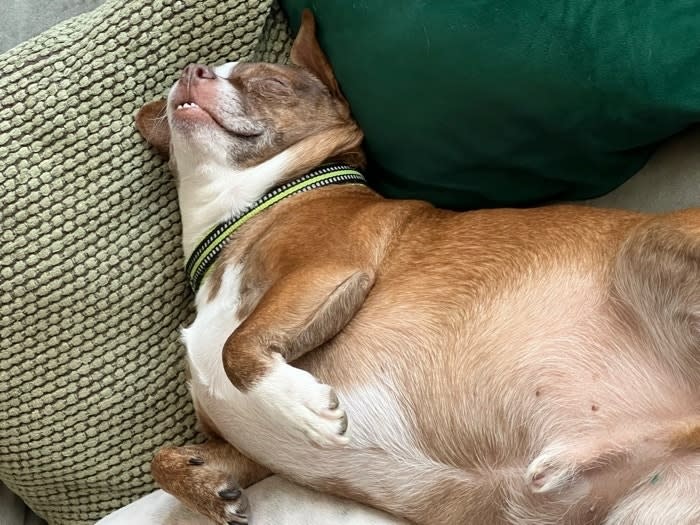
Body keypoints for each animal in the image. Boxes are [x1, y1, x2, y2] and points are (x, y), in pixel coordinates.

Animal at [127, 10, 700, 524]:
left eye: (271, 83)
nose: (192, 71)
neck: (249, 209)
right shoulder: (242, 448)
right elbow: (163, 459)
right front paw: (209, 491)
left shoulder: (328, 271)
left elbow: (236, 346)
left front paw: (301, 405)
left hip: (652, 245)